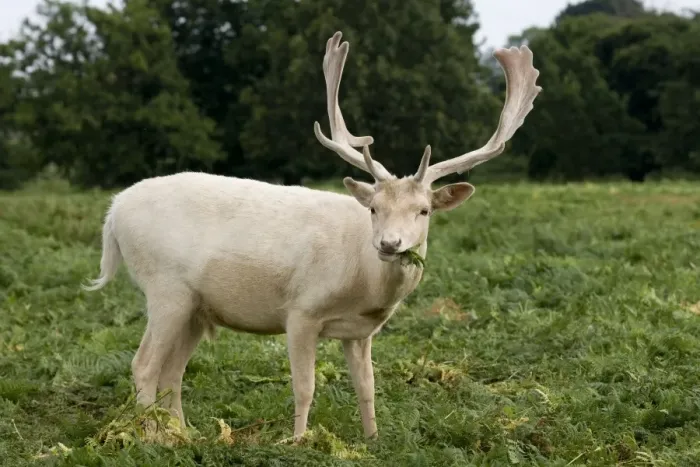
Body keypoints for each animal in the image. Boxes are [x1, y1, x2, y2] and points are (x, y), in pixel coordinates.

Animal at [83, 31, 541, 442]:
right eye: (373, 208)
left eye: (423, 210)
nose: (389, 244)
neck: (362, 282)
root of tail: (113, 213)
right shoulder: (301, 310)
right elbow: (305, 387)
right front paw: (301, 440)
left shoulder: (360, 332)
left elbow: (367, 389)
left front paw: (373, 440)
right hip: (165, 287)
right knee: (144, 364)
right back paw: (148, 438)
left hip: (196, 306)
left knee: (172, 371)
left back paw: (184, 435)